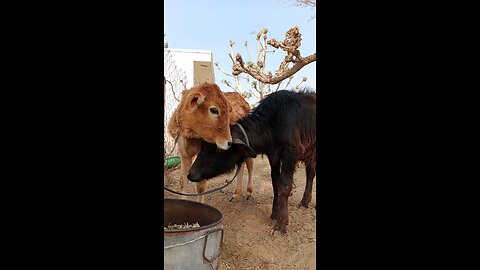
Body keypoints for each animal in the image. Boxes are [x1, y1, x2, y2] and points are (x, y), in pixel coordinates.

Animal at [187, 89, 316, 234]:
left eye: (217, 149)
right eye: (203, 146)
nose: (191, 174)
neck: (272, 123)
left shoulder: (291, 152)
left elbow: (285, 186)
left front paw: (281, 224)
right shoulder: (273, 155)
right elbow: (275, 183)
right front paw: (274, 214)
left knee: (310, 174)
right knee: (310, 173)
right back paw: (305, 201)